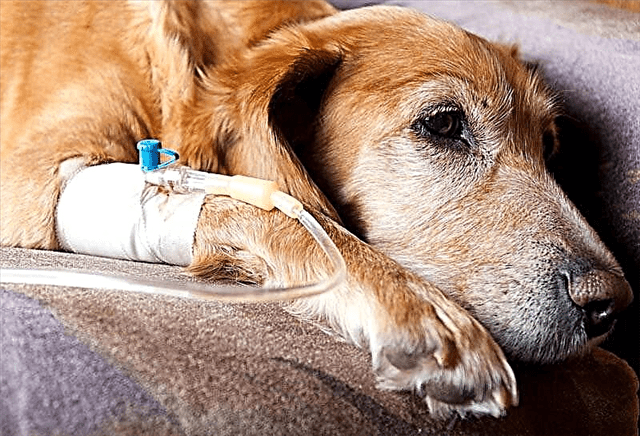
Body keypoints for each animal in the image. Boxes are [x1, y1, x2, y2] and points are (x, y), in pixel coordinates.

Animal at [0, 0, 632, 416]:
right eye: (444, 124)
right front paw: (423, 312)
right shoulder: (34, 181)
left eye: (548, 148)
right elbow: (288, 215)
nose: (611, 305)